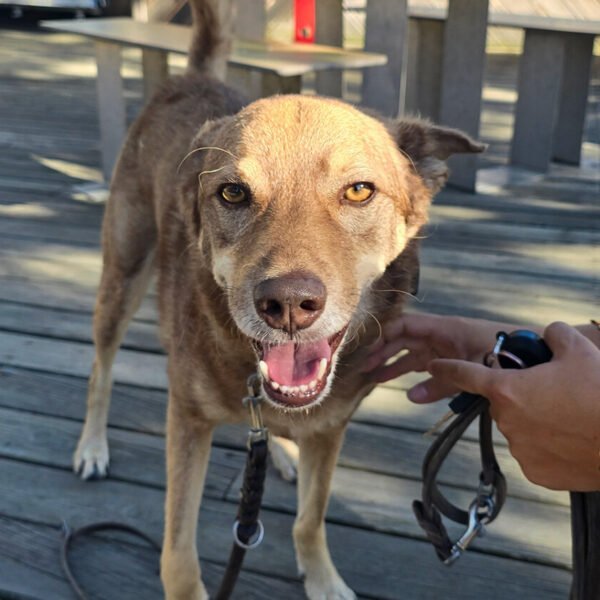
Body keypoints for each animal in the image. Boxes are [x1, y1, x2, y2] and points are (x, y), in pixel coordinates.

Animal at [72, 2, 482, 596]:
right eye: (232, 193)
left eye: (359, 190)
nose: (288, 304)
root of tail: (194, 77)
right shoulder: (187, 421)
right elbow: (178, 551)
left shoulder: (330, 428)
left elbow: (311, 519)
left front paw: (323, 579)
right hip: (121, 276)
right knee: (100, 371)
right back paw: (91, 447)